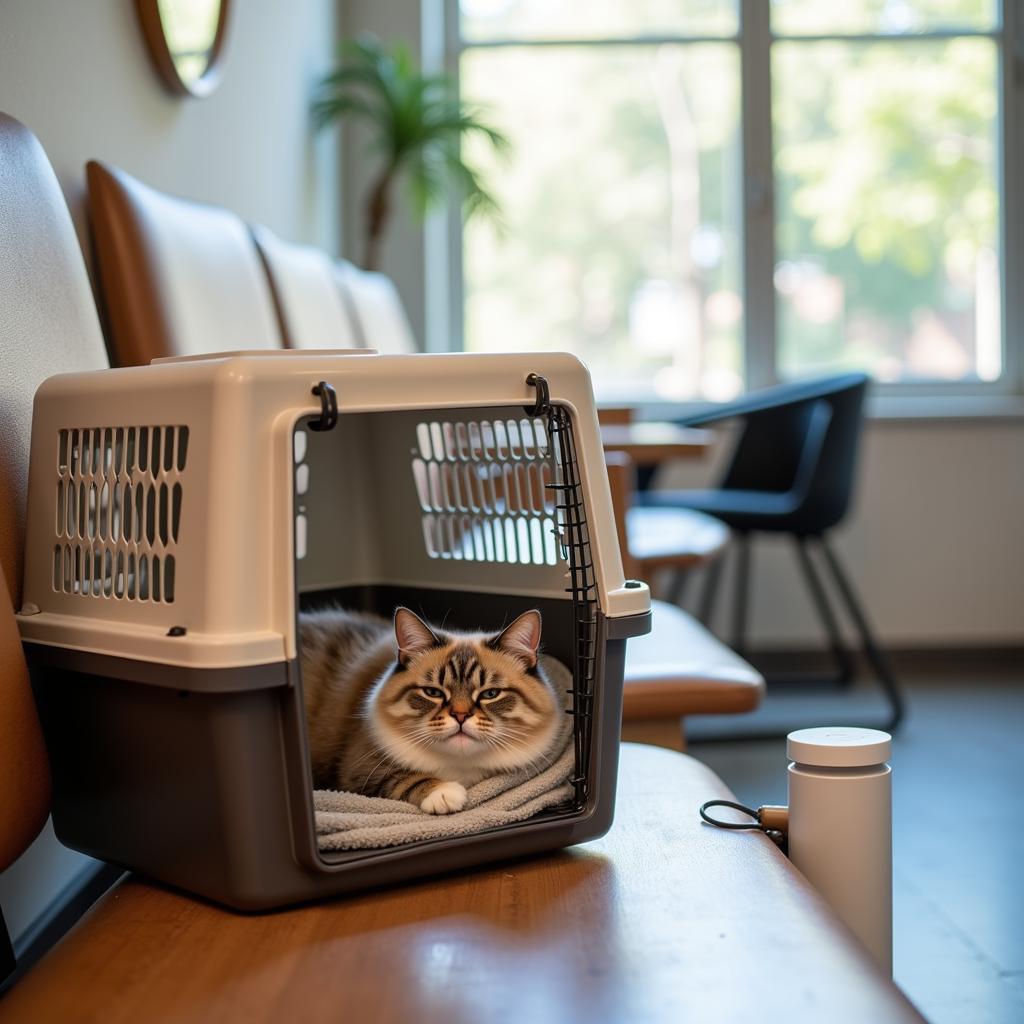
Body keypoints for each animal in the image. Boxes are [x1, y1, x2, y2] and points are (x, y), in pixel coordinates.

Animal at [299, 606, 573, 815]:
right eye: (433, 693)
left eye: (490, 694)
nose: (460, 716)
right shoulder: (358, 769)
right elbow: (404, 777)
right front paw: (444, 794)